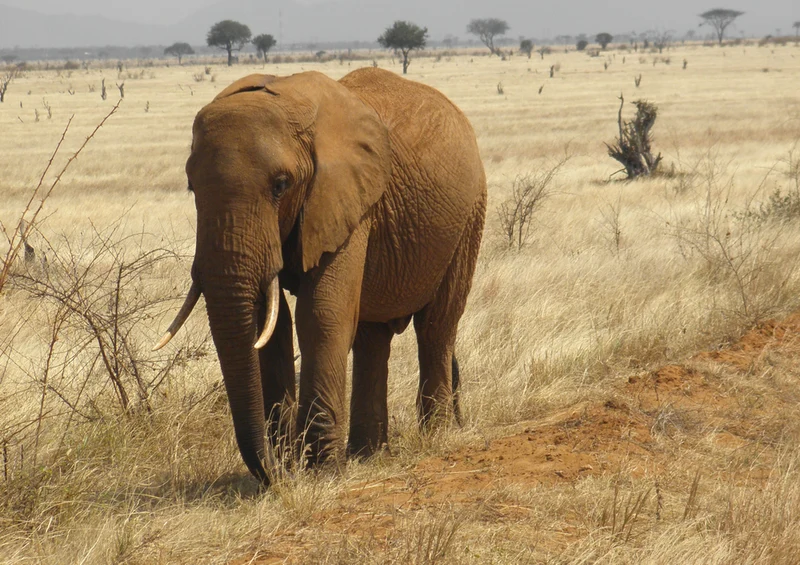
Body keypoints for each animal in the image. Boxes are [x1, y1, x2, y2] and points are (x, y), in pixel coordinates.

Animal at [155, 67, 486, 484]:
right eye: (191, 186)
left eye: (280, 185)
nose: (278, 473)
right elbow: (271, 326)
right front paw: (294, 466)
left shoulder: (348, 201)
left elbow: (321, 314)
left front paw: (321, 472)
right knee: (372, 338)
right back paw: (367, 455)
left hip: (468, 216)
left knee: (436, 325)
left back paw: (435, 438)